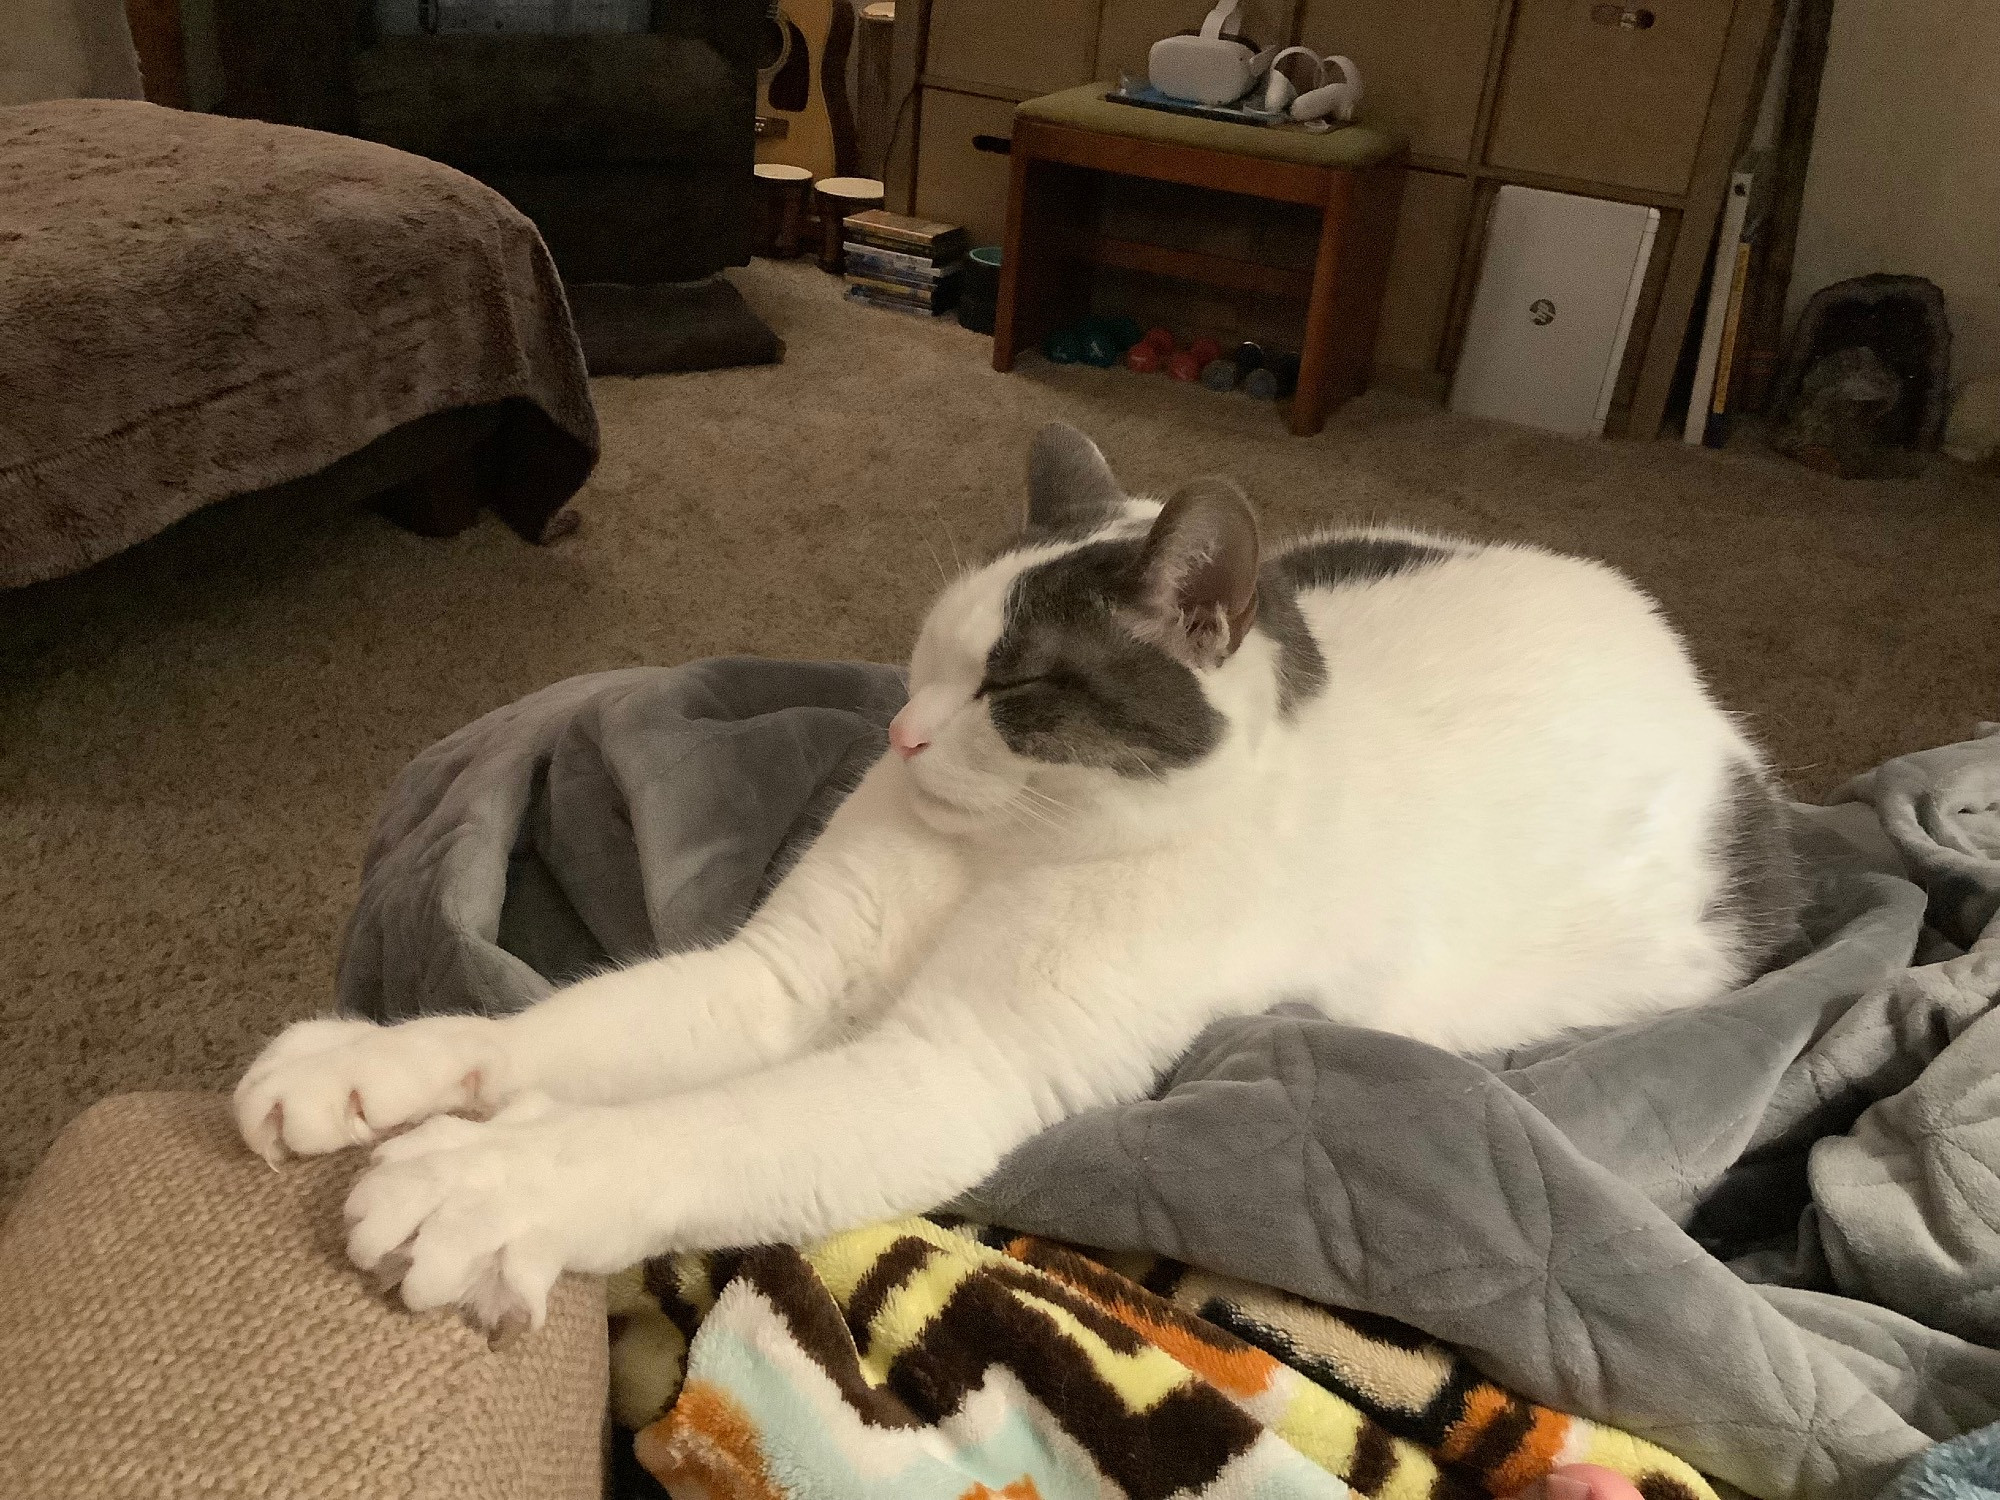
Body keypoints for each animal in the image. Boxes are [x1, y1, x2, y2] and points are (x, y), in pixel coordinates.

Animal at [234, 428, 1800, 1336]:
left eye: (1012, 688)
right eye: (924, 656)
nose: (903, 733)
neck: (1007, 848)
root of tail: (1703, 696)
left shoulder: (947, 1070)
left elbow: (683, 1133)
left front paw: (485, 1183)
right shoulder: (775, 982)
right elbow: (537, 1036)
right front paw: (367, 1069)